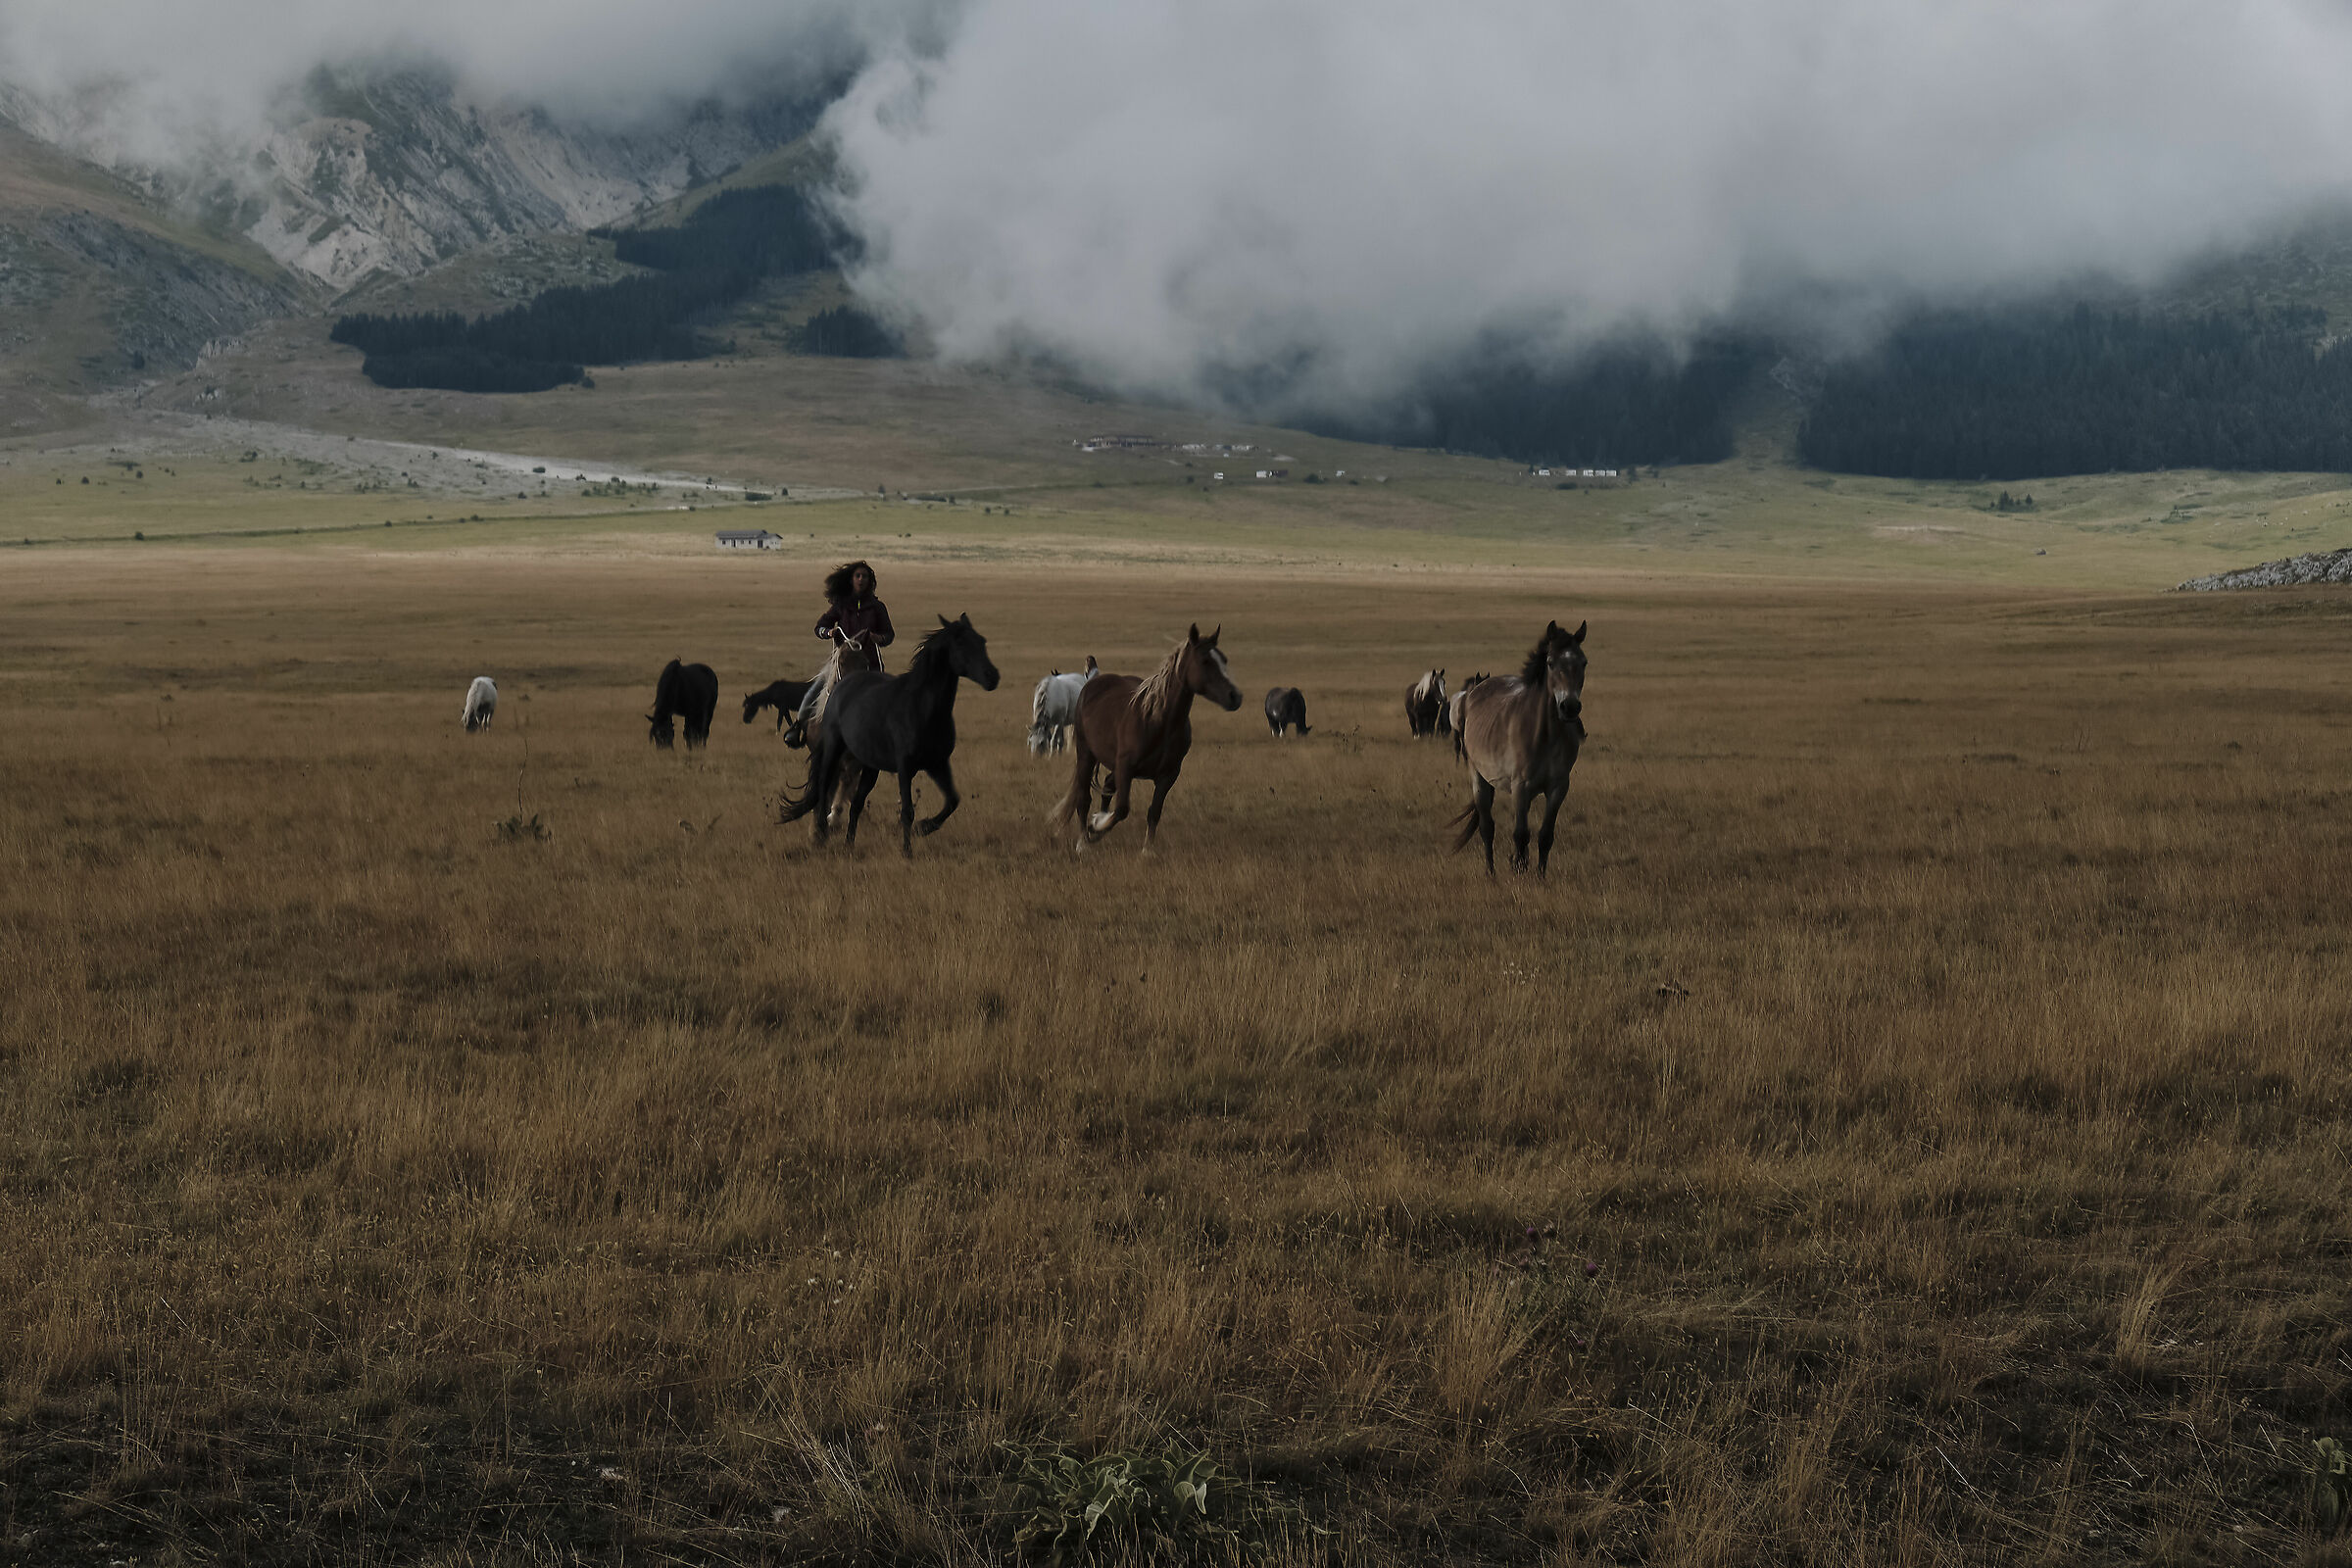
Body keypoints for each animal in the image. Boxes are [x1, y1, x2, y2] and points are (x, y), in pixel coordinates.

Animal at [778, 615, 1000, 856]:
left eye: (982, 641)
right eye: (961, 644)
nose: (992, 677)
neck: (922, 708)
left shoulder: (937, 764)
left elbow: (952, 800)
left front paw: (924, 827)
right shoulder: (905, 768)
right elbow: (907, 811)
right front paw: (907, 851)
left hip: (870, 767)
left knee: (855, 802)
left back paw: (847, 843)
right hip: (832, 754)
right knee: (824, 786)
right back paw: (820, 831)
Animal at [1050, 624, 1242, 852]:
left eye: (1224, 660)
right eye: (1205, 660)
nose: (1235, 696)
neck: (1158, 722)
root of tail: (1094, 681)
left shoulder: (1168, 774)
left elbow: (1154, 811)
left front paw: (1147, 850)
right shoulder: (1125, 768)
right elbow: (1122, 809)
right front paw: (1095, 827)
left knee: (1107, 786)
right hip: (1086, 754)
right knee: (1083, 798)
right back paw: (1083, 842)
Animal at [1447, 622, 1587, 875]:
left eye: (1583, 662)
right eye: (1550, 662)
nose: (1570, 707)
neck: (1544, 735)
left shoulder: (1558, 788)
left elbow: (1545, 836)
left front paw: (1540, 876)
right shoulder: (1520, 786)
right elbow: (1521, 835)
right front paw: (1519, 871)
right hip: (1479, 778)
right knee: (1487, 828)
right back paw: (1491, 873)